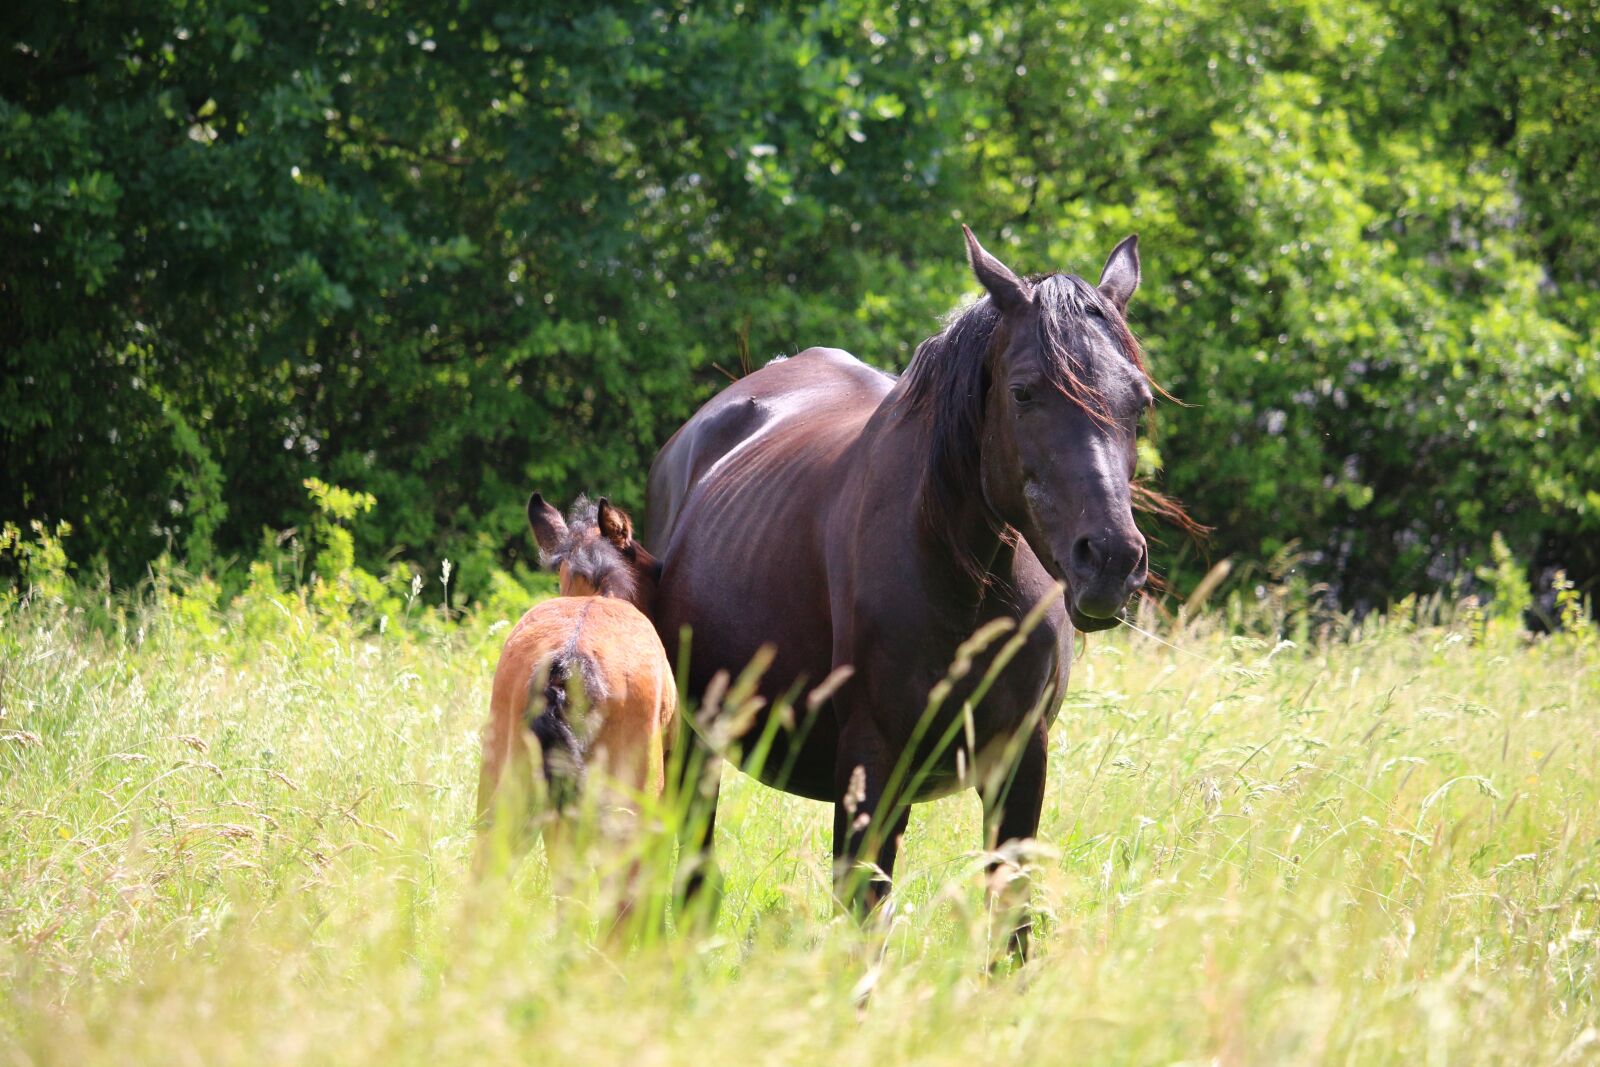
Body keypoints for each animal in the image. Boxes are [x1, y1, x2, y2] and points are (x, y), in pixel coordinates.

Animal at [647, 227, 1170, 950]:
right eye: (1024, 392)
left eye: (1139, 400)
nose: (1112, 561)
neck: (964, 585)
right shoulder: (873, 762)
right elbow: (865, 916)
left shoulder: (1020, 759)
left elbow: (1011, 925)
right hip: (698, 737)